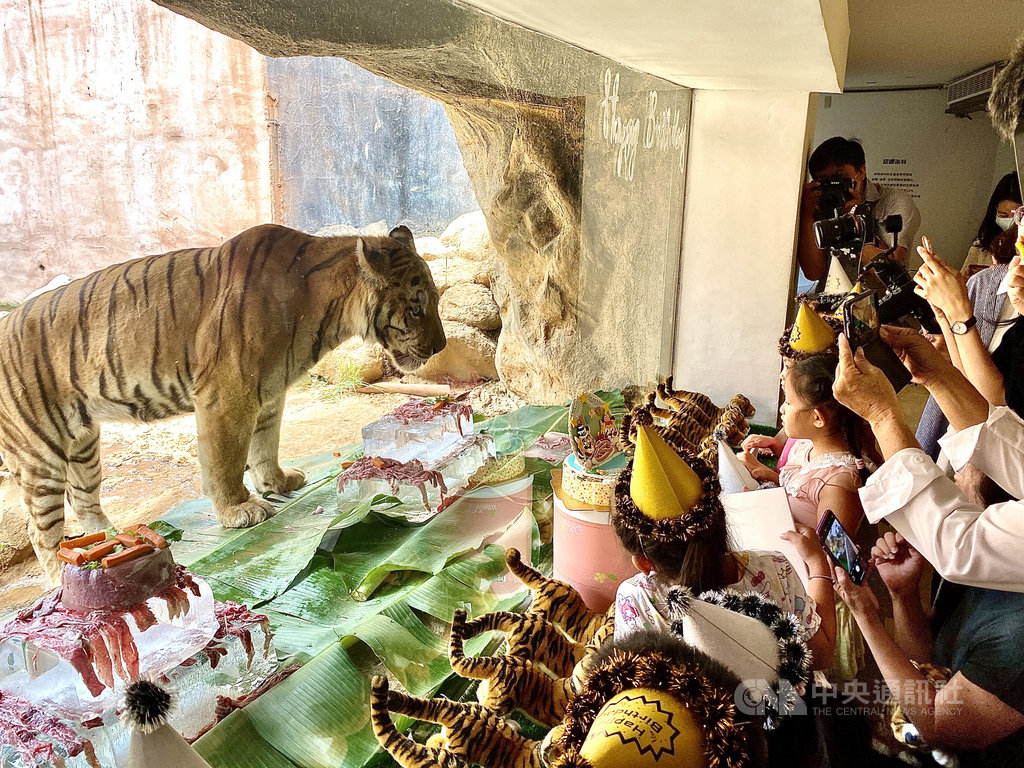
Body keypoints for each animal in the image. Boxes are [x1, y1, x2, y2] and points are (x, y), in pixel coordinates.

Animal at [1, 222, 448, 581]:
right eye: (416, 308)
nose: (441, 347)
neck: (326, 310)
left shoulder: (270, 391)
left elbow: (265, 445)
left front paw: (276, 483)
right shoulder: (227, 393)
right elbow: (226, 460)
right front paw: (240, 511)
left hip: (83, 445)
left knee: (83, 499)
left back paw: (113, 539)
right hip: (39, 450)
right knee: (40, 530)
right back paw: (61, 578)